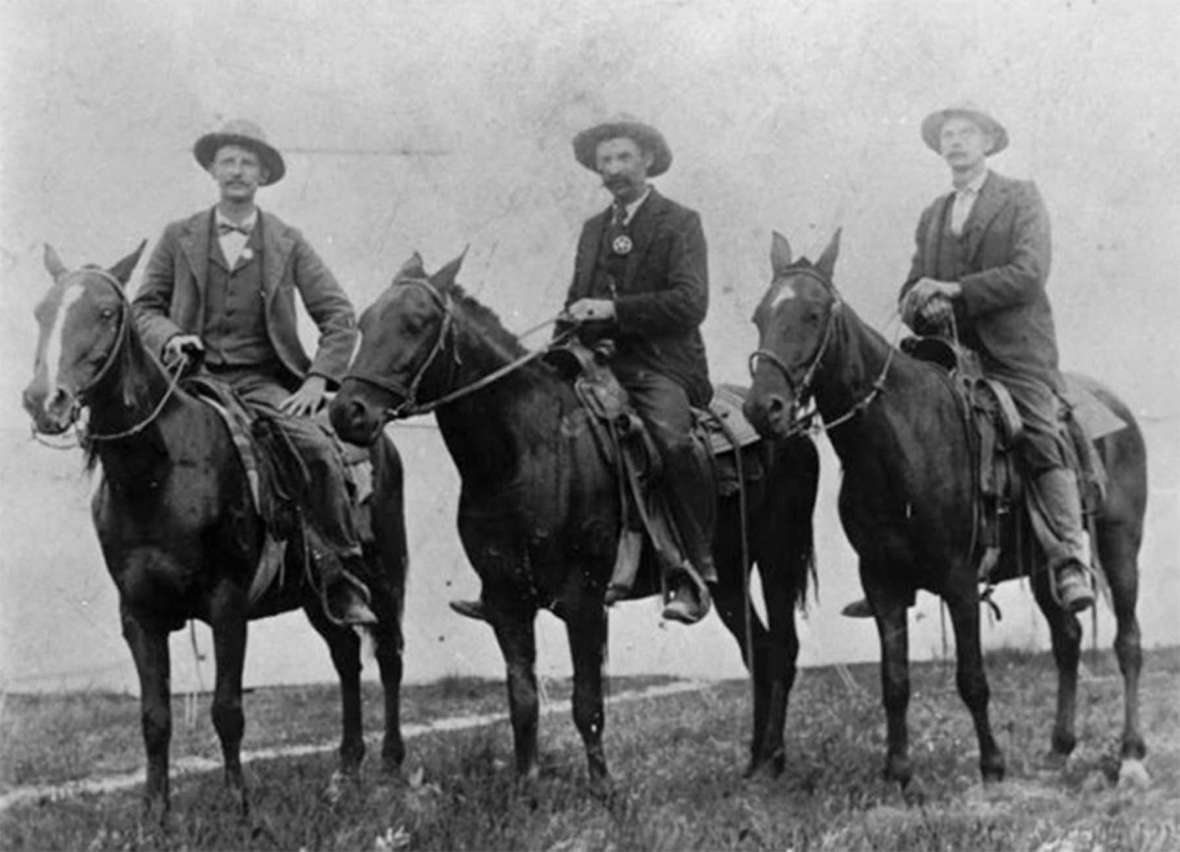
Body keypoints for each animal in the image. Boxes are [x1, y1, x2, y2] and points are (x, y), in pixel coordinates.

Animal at [19, 241, 415, 811]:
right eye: (41, 312)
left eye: (106, 312)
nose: (44, 400)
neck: (159, 475)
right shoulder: (138, 613)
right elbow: (154, 718)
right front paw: (155, 814)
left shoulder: (228, 604)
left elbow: (227, 710)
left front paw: (239, 807)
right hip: (319, 596)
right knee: (346, 660)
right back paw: (346, 768)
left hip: (386, 574)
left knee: (388, 657)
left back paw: (390, 764)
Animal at [328, 250, 816, 788]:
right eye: (365, 322)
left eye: (415, 323)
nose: (348, 412)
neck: (523, 452)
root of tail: (789, 423)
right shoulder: (507, 602)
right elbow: (523, 702)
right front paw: (527, 787)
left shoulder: (584, 599)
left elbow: (587, 704)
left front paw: (603, 789)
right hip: (728, 576)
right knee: (761, 651)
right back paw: (757, 761)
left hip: (777, 560)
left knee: (783, 650)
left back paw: (772, 760)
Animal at [745, 230, 1142, 788]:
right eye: (760, 316)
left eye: (813, 314)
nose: (763, 408)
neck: (902, 440)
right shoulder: (882, 582)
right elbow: (894, 681)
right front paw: (898, 772)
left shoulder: (958, 579)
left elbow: (972, 677)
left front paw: (992, 766)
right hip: (1045, 564)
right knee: (1067, 639)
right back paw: (1059, 749)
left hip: (1120, 543)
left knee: (1128, 643)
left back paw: (1131, 755)